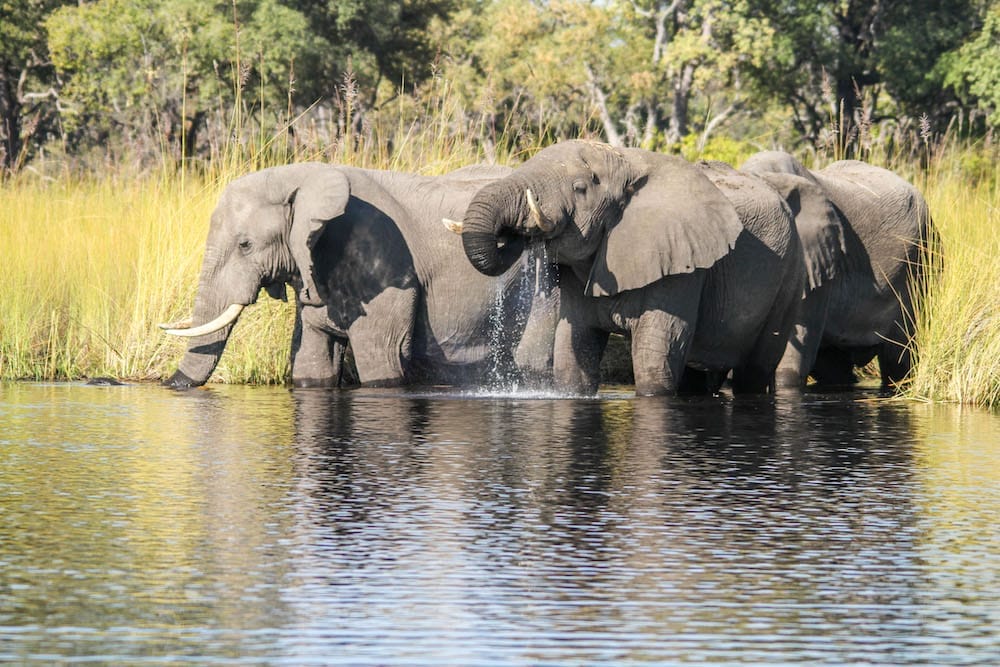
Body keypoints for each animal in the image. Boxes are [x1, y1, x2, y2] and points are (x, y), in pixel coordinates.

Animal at [160, 162, 548, 388]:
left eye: (245, 245)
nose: (168, 383)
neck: (306, 178)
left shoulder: (381, 260)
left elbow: (381, 358)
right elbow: (310, 360)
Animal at [448, 138, 804, 394]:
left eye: (580, 188)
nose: (517, 232)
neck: (625, 160)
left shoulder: (682, 263)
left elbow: (654, 363)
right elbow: (573, 357)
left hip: (789, 277)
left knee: (755, 371)